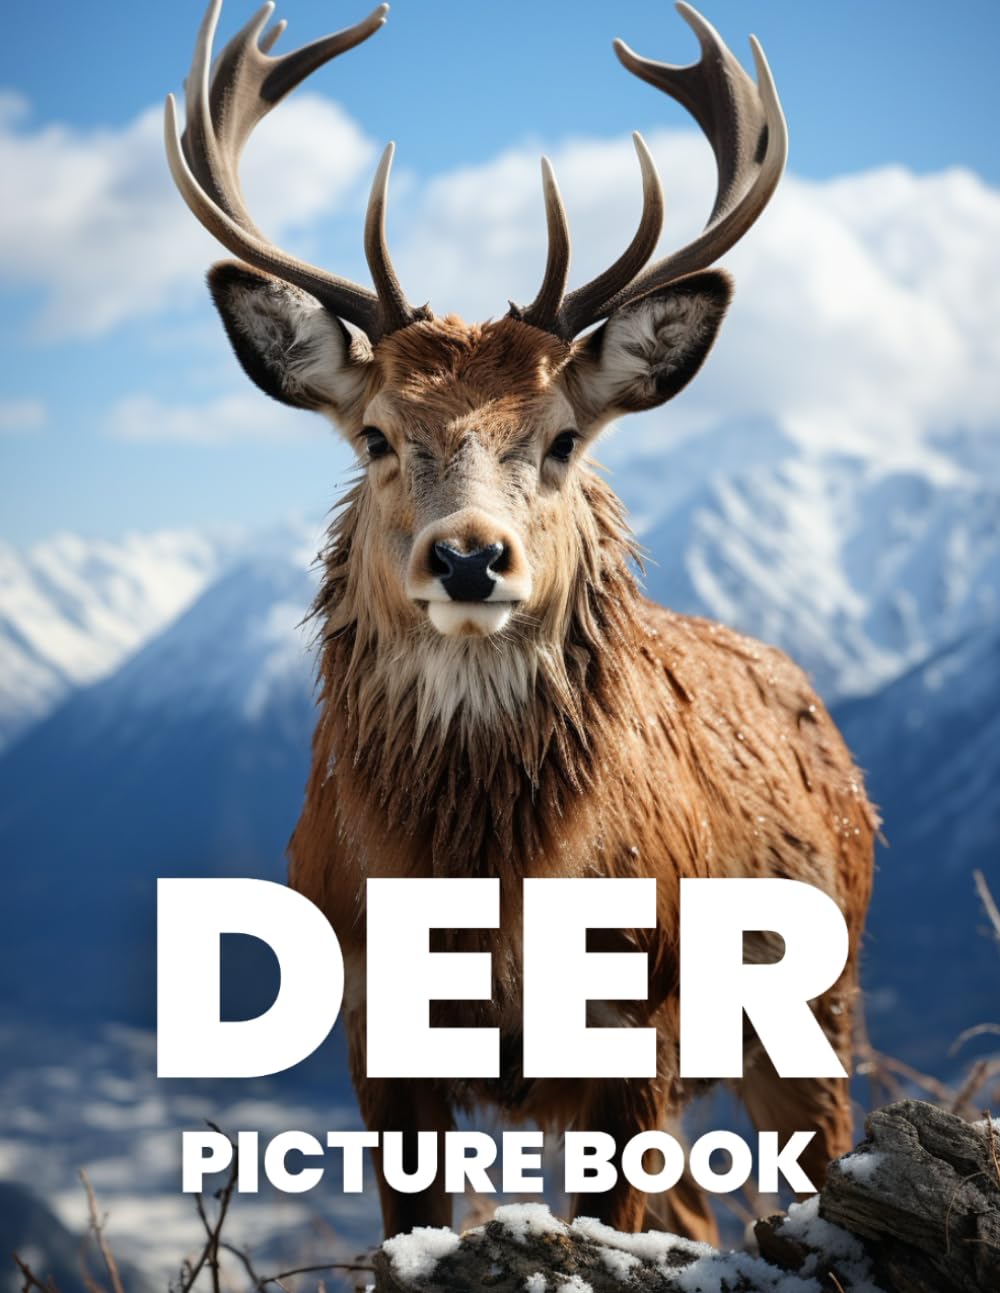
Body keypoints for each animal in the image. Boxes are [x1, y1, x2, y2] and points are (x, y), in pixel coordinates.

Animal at [166, 0, 876, 1244]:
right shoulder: (371, 1023)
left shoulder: (641, 1019)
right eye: (376, 435)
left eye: (561, 439)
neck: (484, 896)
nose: (467, 556)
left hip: (820, 1000)